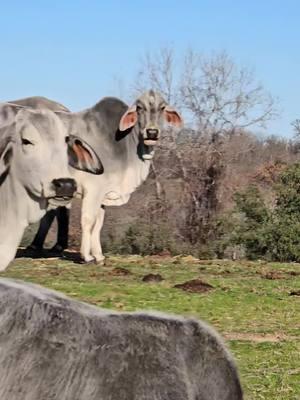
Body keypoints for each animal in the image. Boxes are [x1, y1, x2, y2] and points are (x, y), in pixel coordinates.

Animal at [11, 92, 182, 264]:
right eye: (139, 107)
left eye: (162, 107)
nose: (152, 132)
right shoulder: (93, 189)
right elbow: (88, 220)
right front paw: (86, 256)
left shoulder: (103, 195)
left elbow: (98, 224)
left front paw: (99, 256)